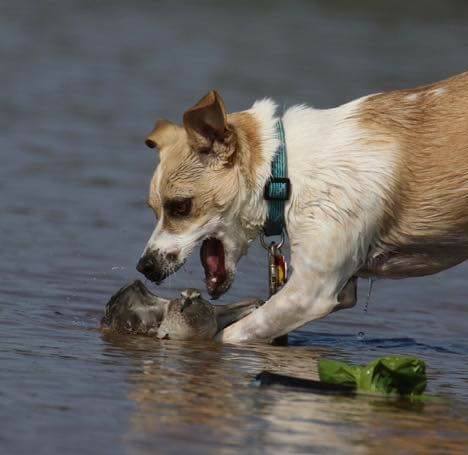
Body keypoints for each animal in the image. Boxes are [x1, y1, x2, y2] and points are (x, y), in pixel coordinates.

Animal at [137, 71, 468, 343]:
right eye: (154, 210)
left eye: (180, 207)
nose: (144, 267)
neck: (283, 173)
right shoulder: (340, 287)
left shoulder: (310, 293)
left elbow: (230, 335)